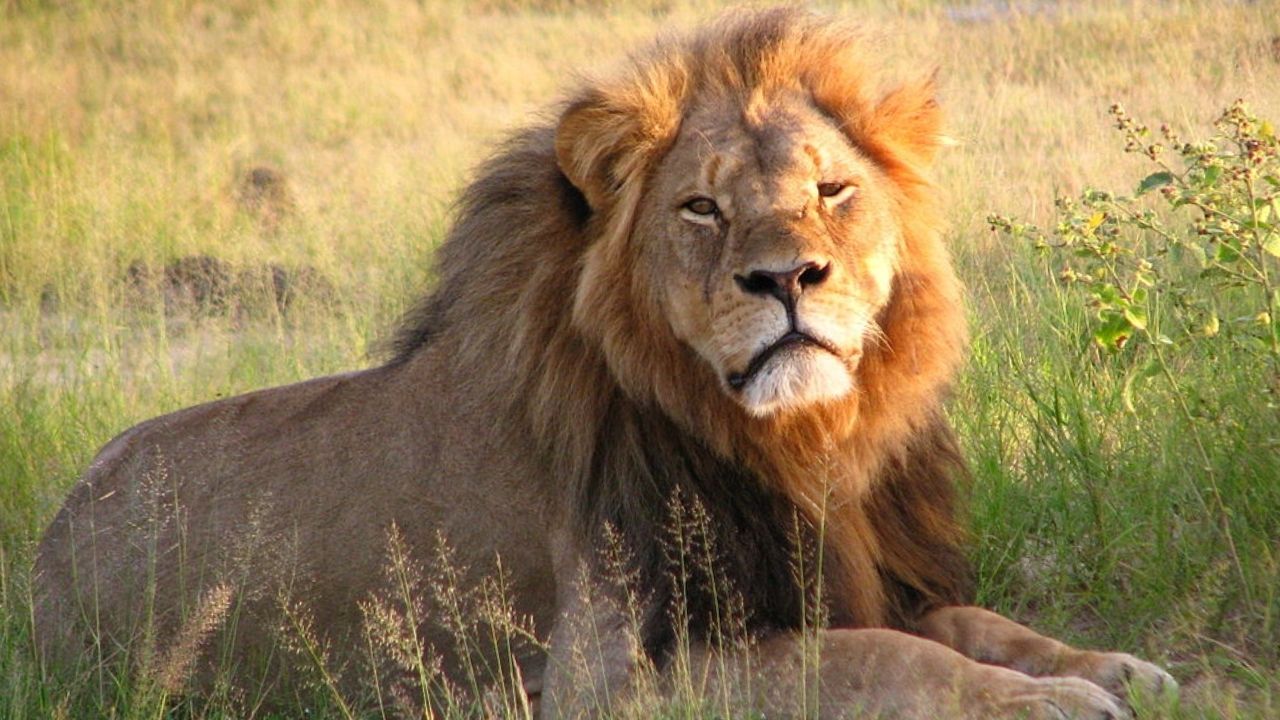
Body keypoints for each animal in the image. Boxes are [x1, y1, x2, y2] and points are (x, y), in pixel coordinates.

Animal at [34, 8, 1175, 718]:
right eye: (701, 207)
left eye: (832, 189)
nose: (787, 278)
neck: (800, 445)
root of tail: (43, 549)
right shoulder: (607, 677)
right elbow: (878, 658)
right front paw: (1049, 702)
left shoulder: (844, 567)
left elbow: (973, 623)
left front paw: (1107, 667)